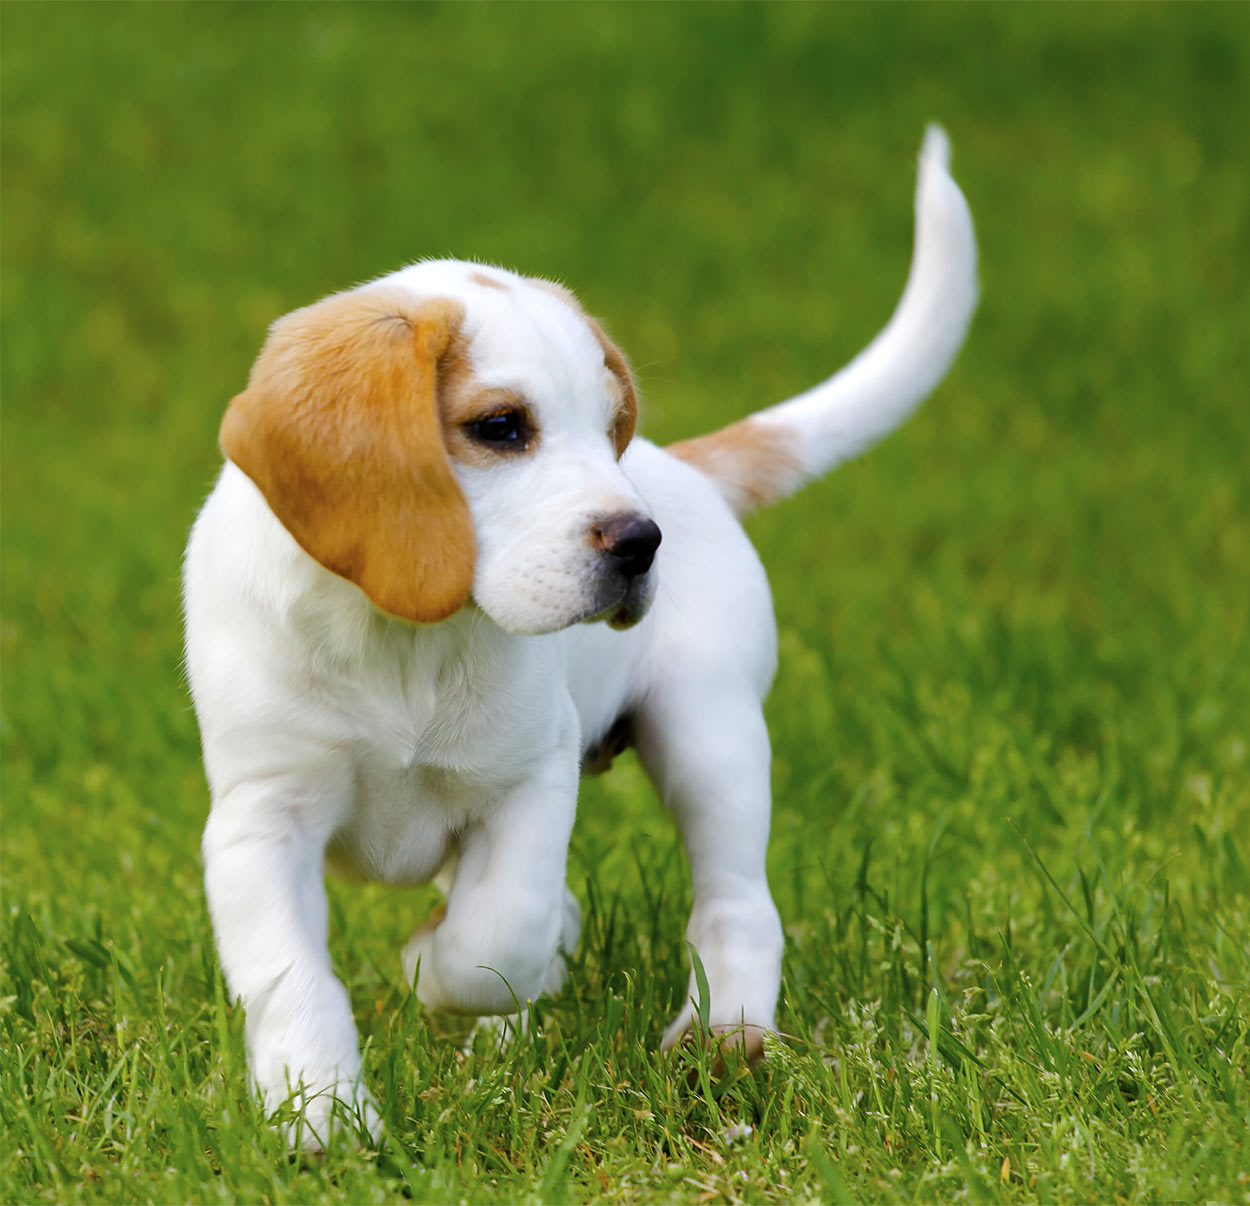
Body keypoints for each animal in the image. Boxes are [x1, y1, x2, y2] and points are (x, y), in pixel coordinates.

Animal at [182, 124, 975, 1149]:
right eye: (500, 427)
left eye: (609, 431)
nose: (641, 543)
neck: (403, 638)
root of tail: (688, 473)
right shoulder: (260, 818)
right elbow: (292, 978)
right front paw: (320, 1117)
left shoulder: (530, 778)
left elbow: (500, 930)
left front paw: (433, 968)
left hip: (709, 737)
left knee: (736, 904)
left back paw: (724, 1037)